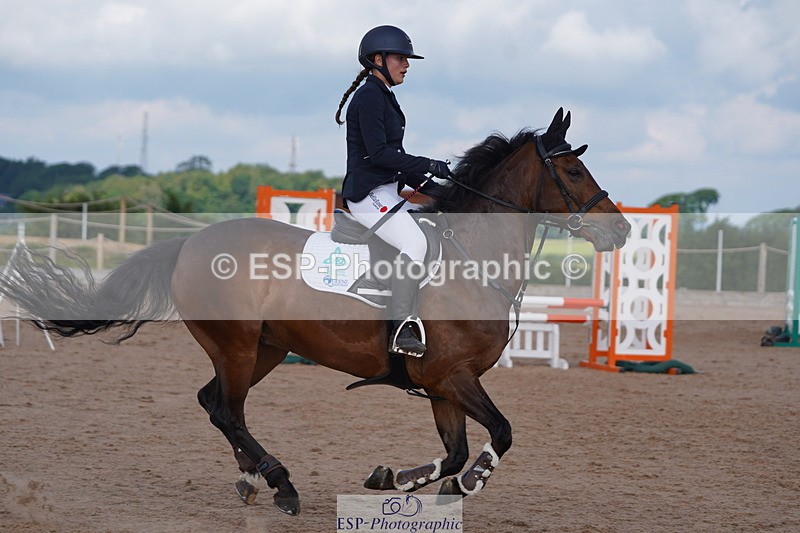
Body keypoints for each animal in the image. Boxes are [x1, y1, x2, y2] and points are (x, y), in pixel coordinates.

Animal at [1, 108, 630, 516]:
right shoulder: (452, 375)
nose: (621, 231)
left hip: (265, 348)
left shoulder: (443, 383)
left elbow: (452, 452)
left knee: (216, 404)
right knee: (226, 409)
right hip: (236, 346)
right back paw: (281, 484)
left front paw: (399, 479)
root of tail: (190, 243)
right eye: (573, 172)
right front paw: (468, 481)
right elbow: (499, 432)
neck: (471, 258)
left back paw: (252, 479)